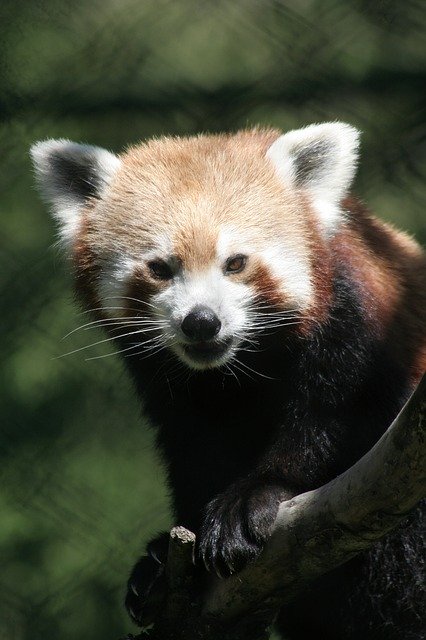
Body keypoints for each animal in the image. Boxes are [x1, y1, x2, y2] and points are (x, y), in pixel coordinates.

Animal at [30, 125, 426, 640]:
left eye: (235, 263)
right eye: (161, 268)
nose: (201, 322)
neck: (238, 370)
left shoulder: (360, 328)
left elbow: (332, 421)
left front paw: (254, 498)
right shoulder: (174, 390)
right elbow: (194, 450)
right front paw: (166, 557)